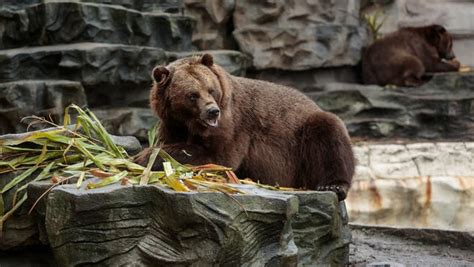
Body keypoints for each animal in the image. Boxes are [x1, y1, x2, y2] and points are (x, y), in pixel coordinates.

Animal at [135, 54, 354, 201]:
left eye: (211, 90)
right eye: (192, 95)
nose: (212, 111)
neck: (190, 122)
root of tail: (313, 103)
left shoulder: (234, 125)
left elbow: (217, 158)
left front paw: (144, 156)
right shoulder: (172, 124)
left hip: (301, 139)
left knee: (329, 133)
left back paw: (333, 185)